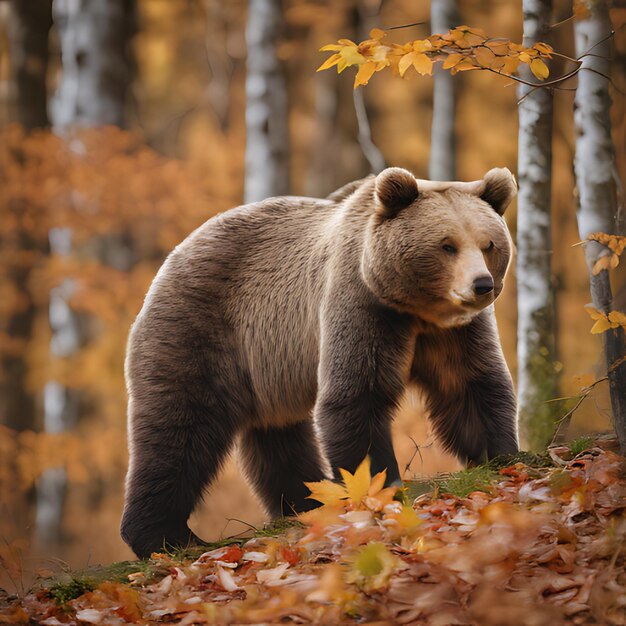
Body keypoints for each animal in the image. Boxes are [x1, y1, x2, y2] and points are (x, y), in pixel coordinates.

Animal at [119, 165, 516, 556]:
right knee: (179, 425)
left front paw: (500, 455)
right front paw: (378, 486)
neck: (417, 310)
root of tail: (176, 253)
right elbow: (356, 396)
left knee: (278, 436)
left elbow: (470, 385)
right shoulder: (360, 304)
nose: (481, 285)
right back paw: (164, 537)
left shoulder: (453, 333)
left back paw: (306, 502)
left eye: (489, 244)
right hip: (200, 328)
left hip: (267, 369)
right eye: (447, 245)